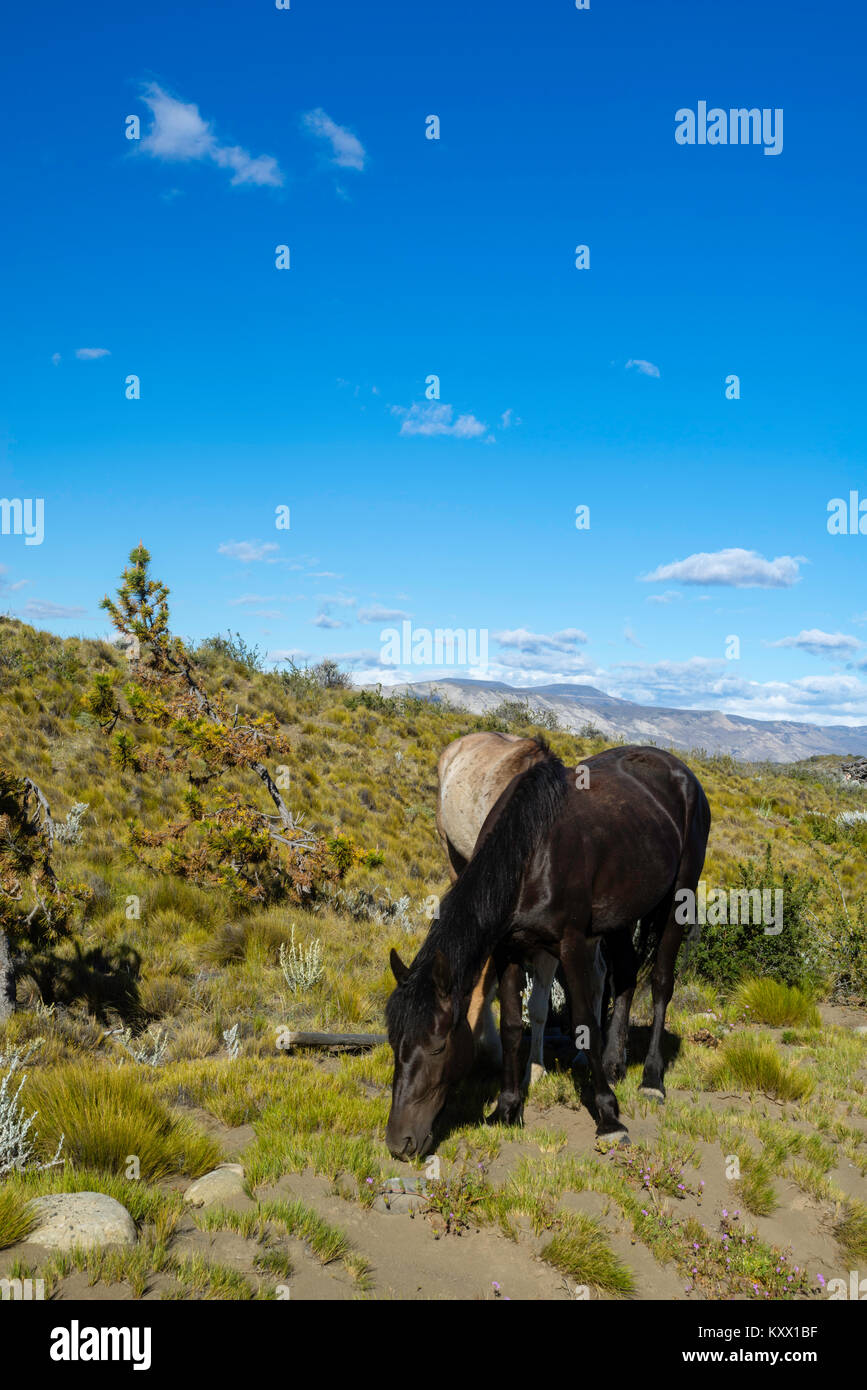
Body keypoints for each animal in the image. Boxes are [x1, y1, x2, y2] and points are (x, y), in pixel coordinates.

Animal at [386, 745, 711, 1156]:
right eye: (393, 1042)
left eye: (438, 1045)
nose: (399, 1143)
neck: (532, 852)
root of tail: (680, 771)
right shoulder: (507, 949)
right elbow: (511, 1025)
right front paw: (506, 1108)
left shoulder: (571, 945)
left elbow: (585, 1022)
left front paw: (609, 1117)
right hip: (620, 917)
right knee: (625, 976)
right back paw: (614, 1065)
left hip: (679, 899)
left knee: (660, 983)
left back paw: (652, 1080)